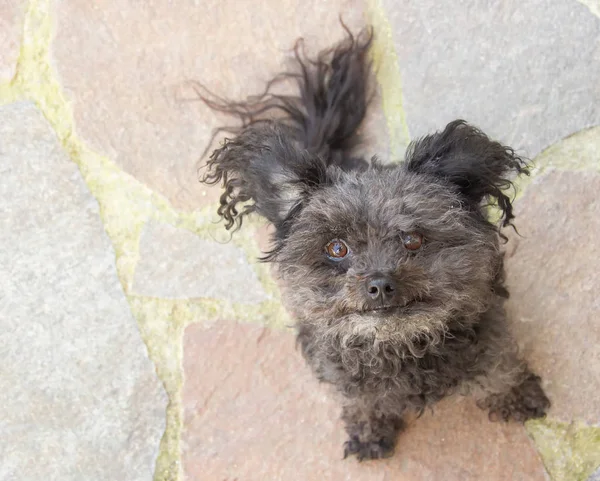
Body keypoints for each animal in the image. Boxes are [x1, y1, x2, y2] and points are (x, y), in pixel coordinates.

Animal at [199, 27, 552, 462]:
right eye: (337, 248)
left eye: (413, 239)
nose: (380, 284)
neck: (399, 347)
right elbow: (363, 401)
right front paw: (368, 432)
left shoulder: (490, 337)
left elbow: (501, 370)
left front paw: (519, 397)